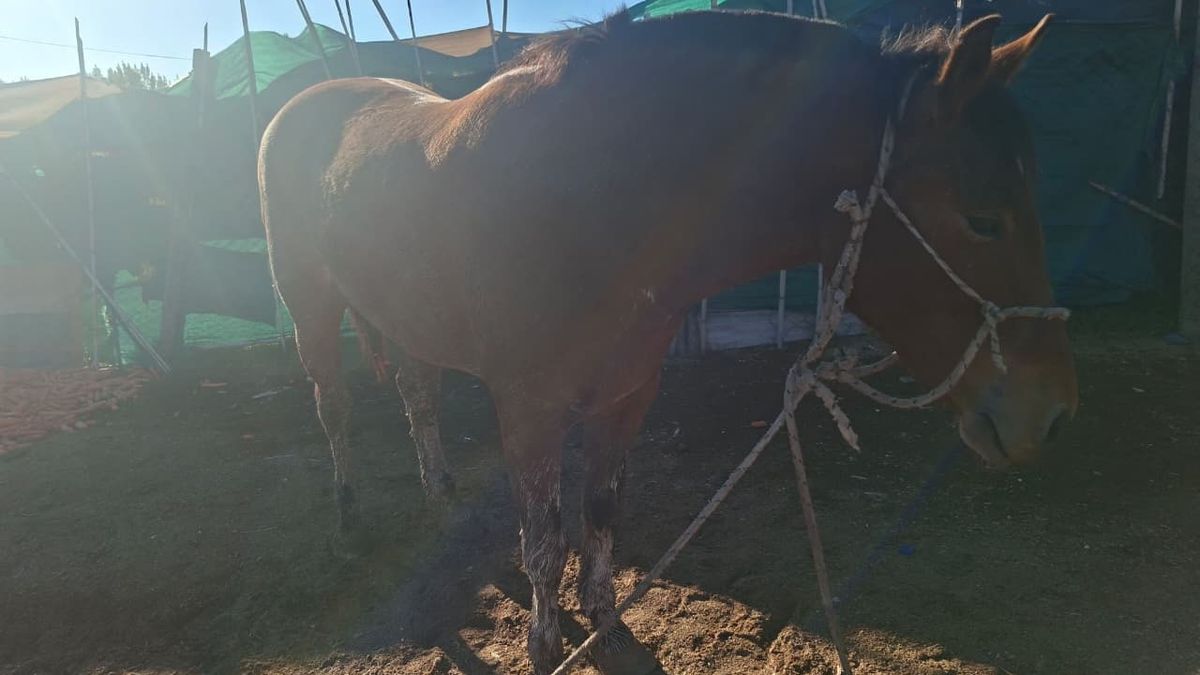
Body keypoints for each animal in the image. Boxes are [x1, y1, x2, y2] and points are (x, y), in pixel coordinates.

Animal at [258, 10, 1075, 674]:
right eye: (981, 218)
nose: (1050, 415)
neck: (587, 197)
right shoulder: (528, 409)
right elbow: (543, 540)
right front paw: (546, 646)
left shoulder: (627, 395)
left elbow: (599, 517)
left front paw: (607, 628)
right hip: (310, 304)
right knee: (332, 405)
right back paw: (349, 514)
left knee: (417, 395)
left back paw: (438, 488)